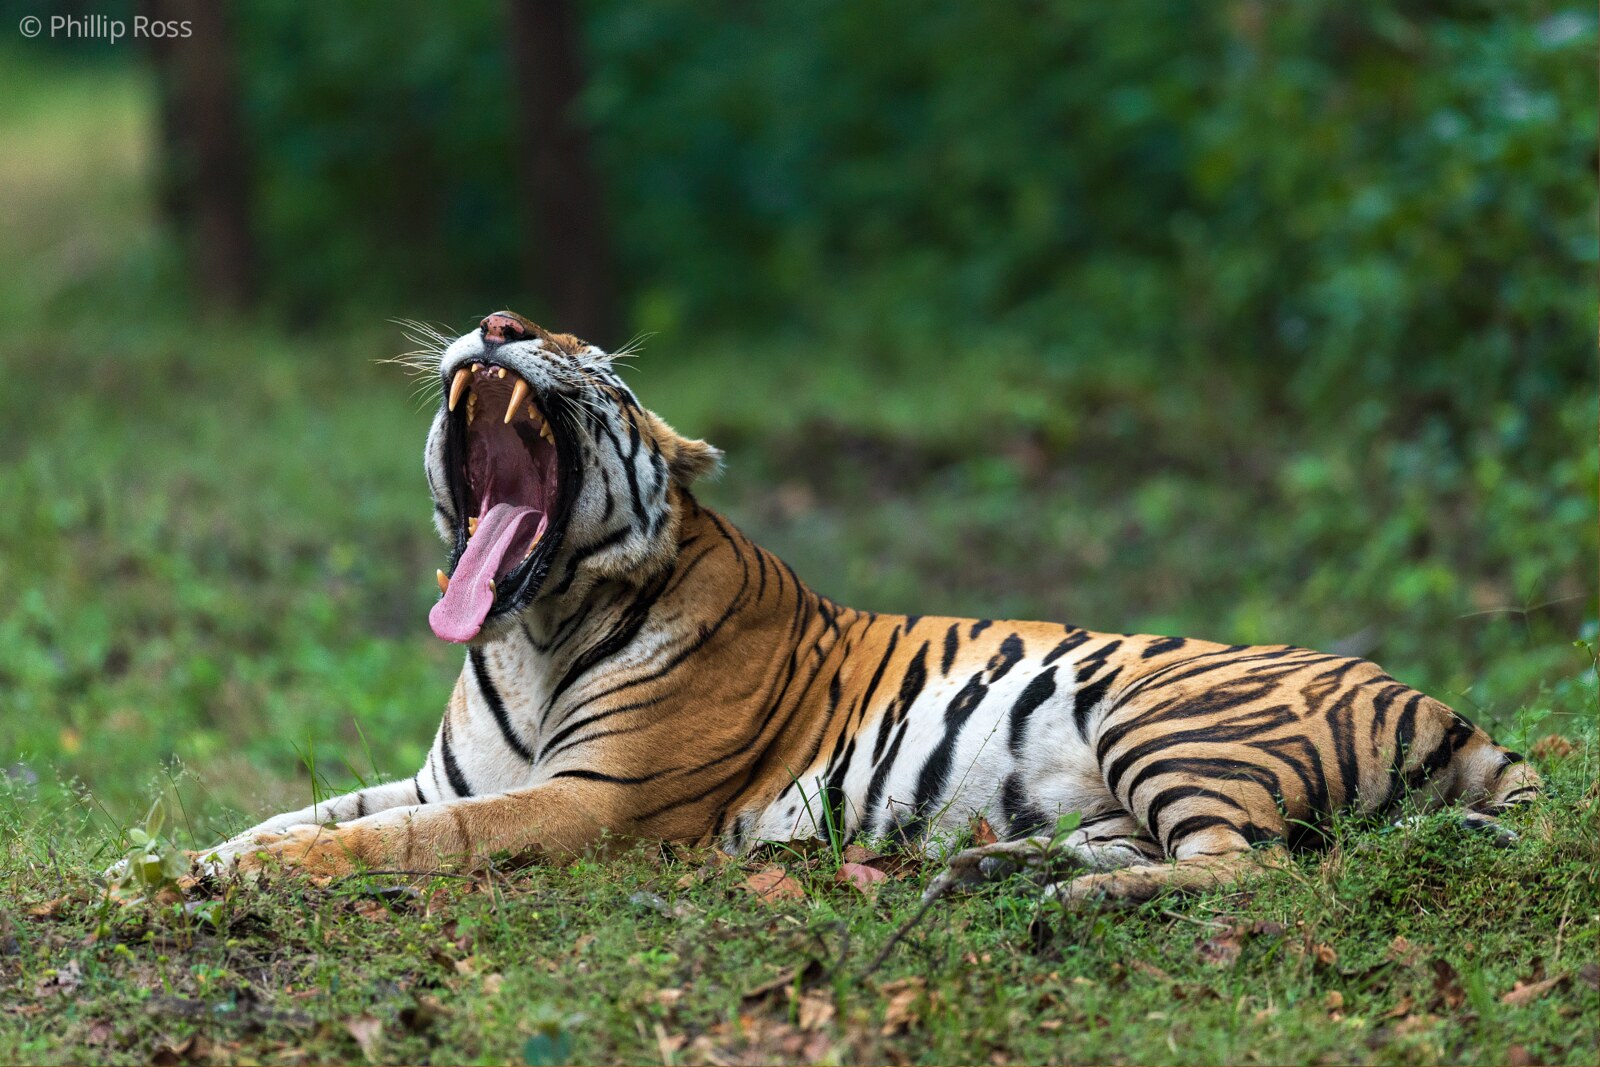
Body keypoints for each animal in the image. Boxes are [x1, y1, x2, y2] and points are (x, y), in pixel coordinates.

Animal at [198, 311, 1541, 904]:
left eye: (599, 369)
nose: (500, 322)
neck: (529, 632)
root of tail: (1449, 708)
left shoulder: (589, 801)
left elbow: (397, 839)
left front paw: (244, 876)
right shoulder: (448, 776)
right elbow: (308, 809)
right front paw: (189, 857)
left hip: (1167, 716)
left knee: (1246, 867)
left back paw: (1069, 898)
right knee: (1154, 845)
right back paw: (989, 867)